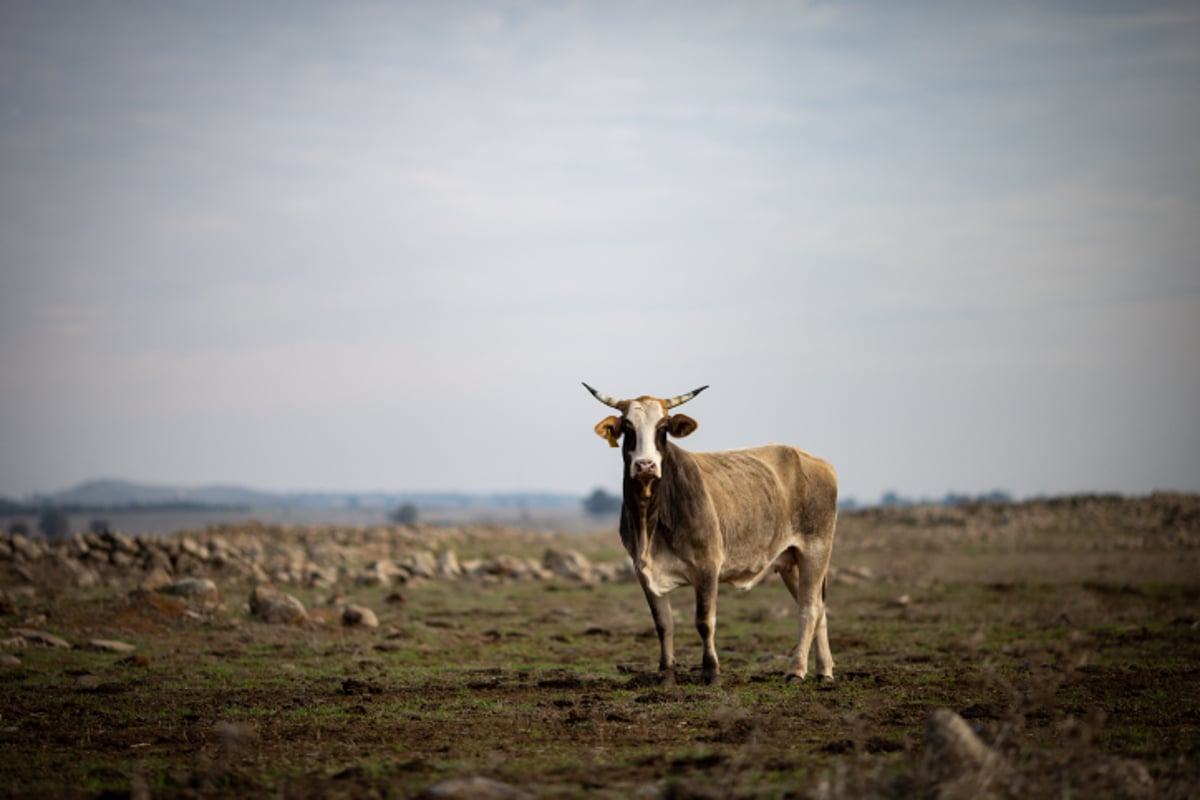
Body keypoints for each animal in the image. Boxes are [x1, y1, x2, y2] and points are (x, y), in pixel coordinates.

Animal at [580, 383, 835, 686]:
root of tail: (814, 461)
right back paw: (824, 670)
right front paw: (666, 673)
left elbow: (704, 621)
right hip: (790, 561)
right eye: (628, 426)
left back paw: (796, 670)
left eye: (663, 427)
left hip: (815, 551)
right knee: (818, 609)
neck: (651, 515)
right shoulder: (643, 572)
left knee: (809, 609)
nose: (645, 466)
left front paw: (711, 672)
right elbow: (663, 623)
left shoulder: (707, 566)